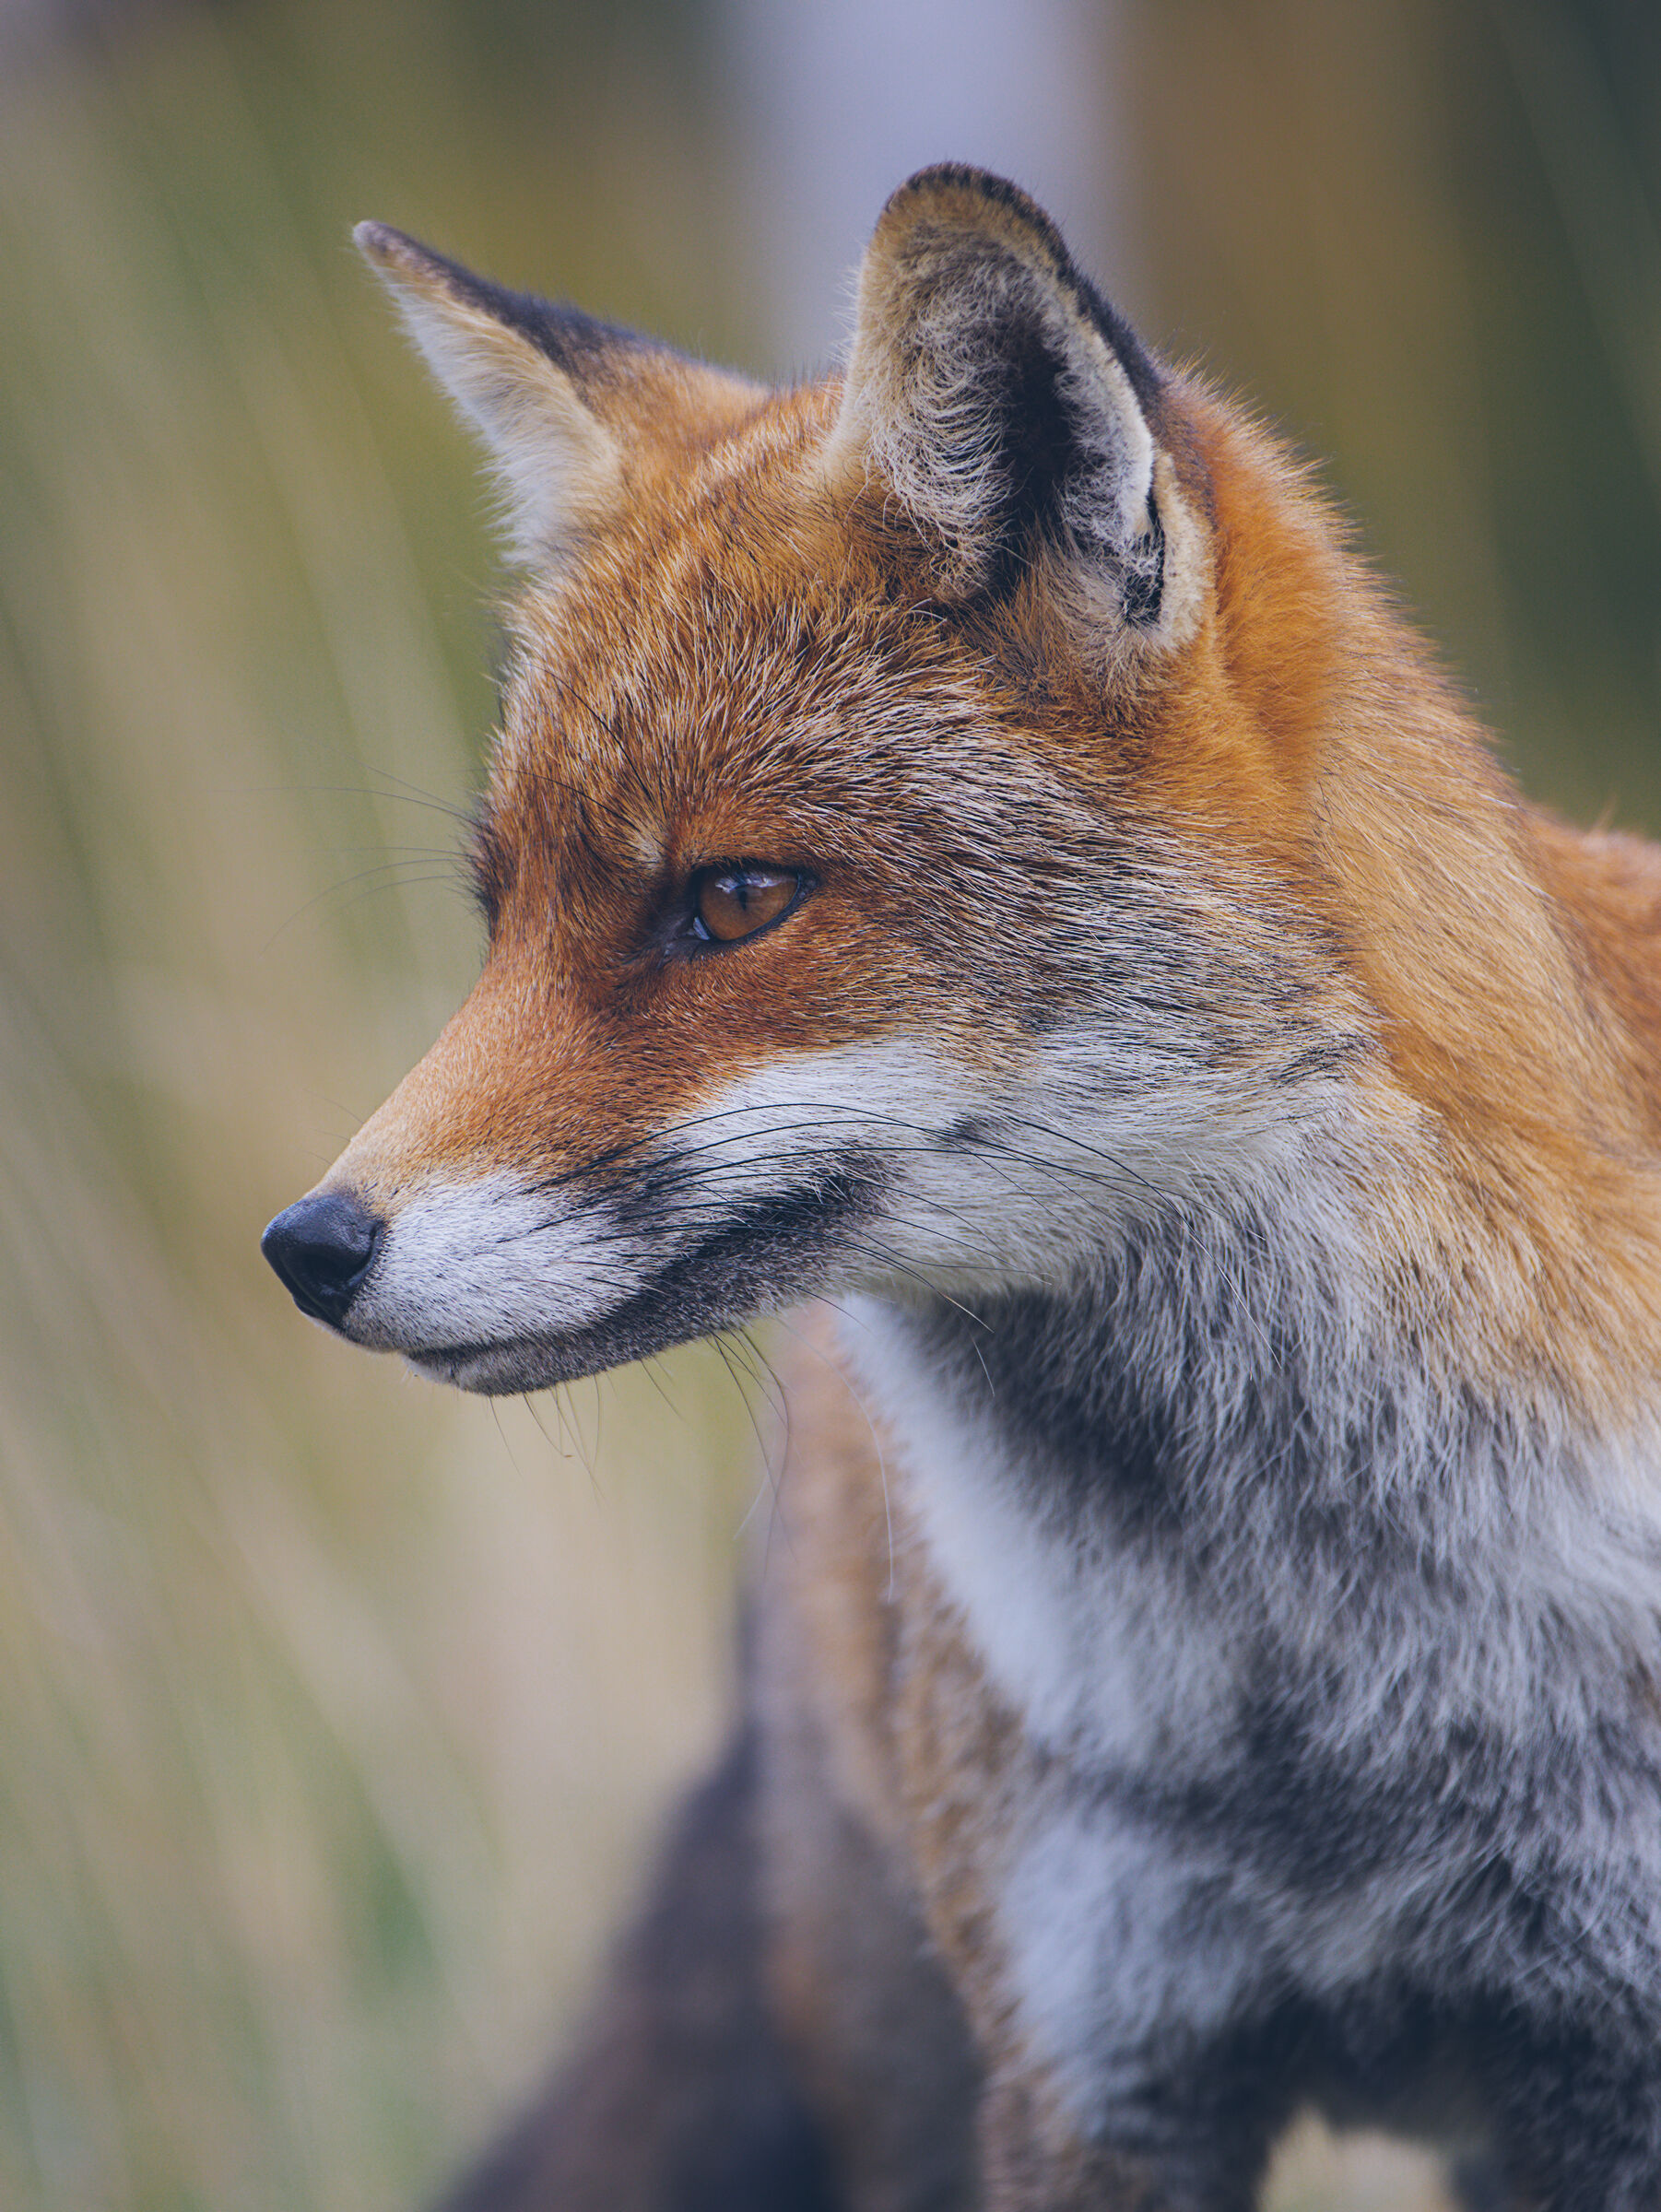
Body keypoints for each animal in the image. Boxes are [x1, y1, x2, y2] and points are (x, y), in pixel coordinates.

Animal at [260, 167, 1661, 2210]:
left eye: (734, 900)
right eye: (499, 914)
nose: (307, 1247)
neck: (1332, 1702)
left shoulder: (1597, 2067)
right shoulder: (1092, 2076)